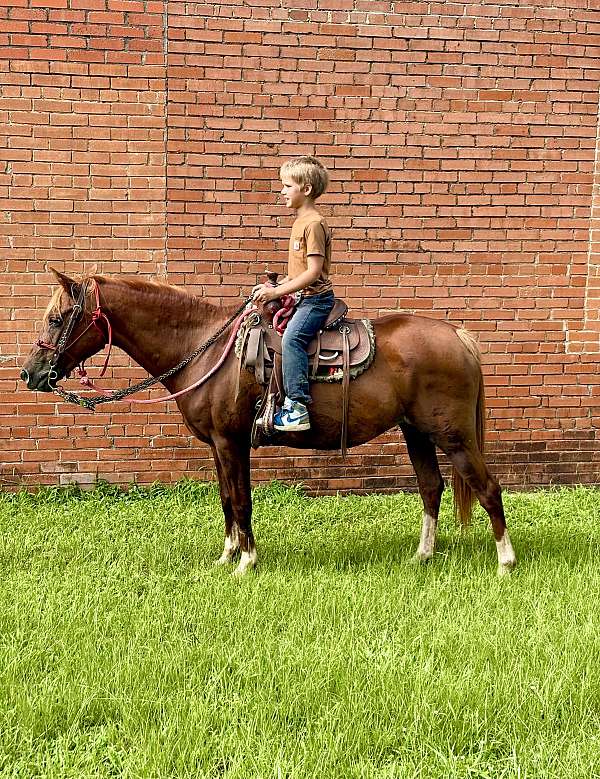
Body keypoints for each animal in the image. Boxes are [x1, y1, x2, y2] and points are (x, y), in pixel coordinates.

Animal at [20, 269, 517, 576]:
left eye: (58, 318)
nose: (30, 373)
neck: (204, 350)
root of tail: (457, 336)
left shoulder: (231, 441)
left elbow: (241, 501)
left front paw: (247, 561)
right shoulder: (217, 446)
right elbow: (225, 500)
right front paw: (227, 555)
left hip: (454, 435)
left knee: (488, 488)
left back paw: (505, 561)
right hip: (417, 432)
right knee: (431, 488)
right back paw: (422, 555)